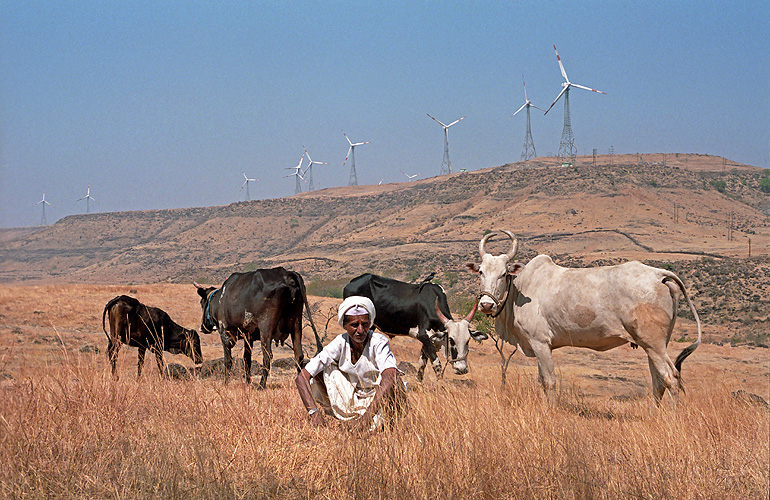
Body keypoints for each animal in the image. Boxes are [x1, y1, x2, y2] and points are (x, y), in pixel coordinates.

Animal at [344, 274, 486, 378]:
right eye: (451, 340)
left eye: (468, 340)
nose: (462, 369)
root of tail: (351, 282)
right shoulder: (424, 336)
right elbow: (437, 366)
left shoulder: (428, 342)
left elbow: (422, 365)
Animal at [464, 230, 700, 406]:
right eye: (481, 272)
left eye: (504, 274)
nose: (486, 304)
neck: (520, 289)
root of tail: (659, 274)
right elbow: (542, 381)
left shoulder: (540, 342)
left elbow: (549, 381)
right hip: (654, 346)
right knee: (658, 382)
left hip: (654, 345)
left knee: (670, 378)